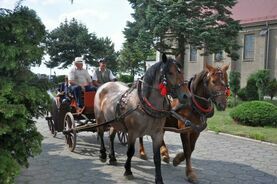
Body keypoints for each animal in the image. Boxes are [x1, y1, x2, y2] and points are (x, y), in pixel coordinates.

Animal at [94, 54, 189, 183]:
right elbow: (130, 152)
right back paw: (103, 154)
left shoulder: (157, 134)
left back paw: (112, 157)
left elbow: (157, 158)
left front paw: (159, 179)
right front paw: (128, 171)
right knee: (100, 133)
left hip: (115, 121)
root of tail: (104, 85)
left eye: (182, 72)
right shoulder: (132, 133)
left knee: (111, 137)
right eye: (170, 72)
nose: (186, 96)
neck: (144, 104)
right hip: (100, 118)